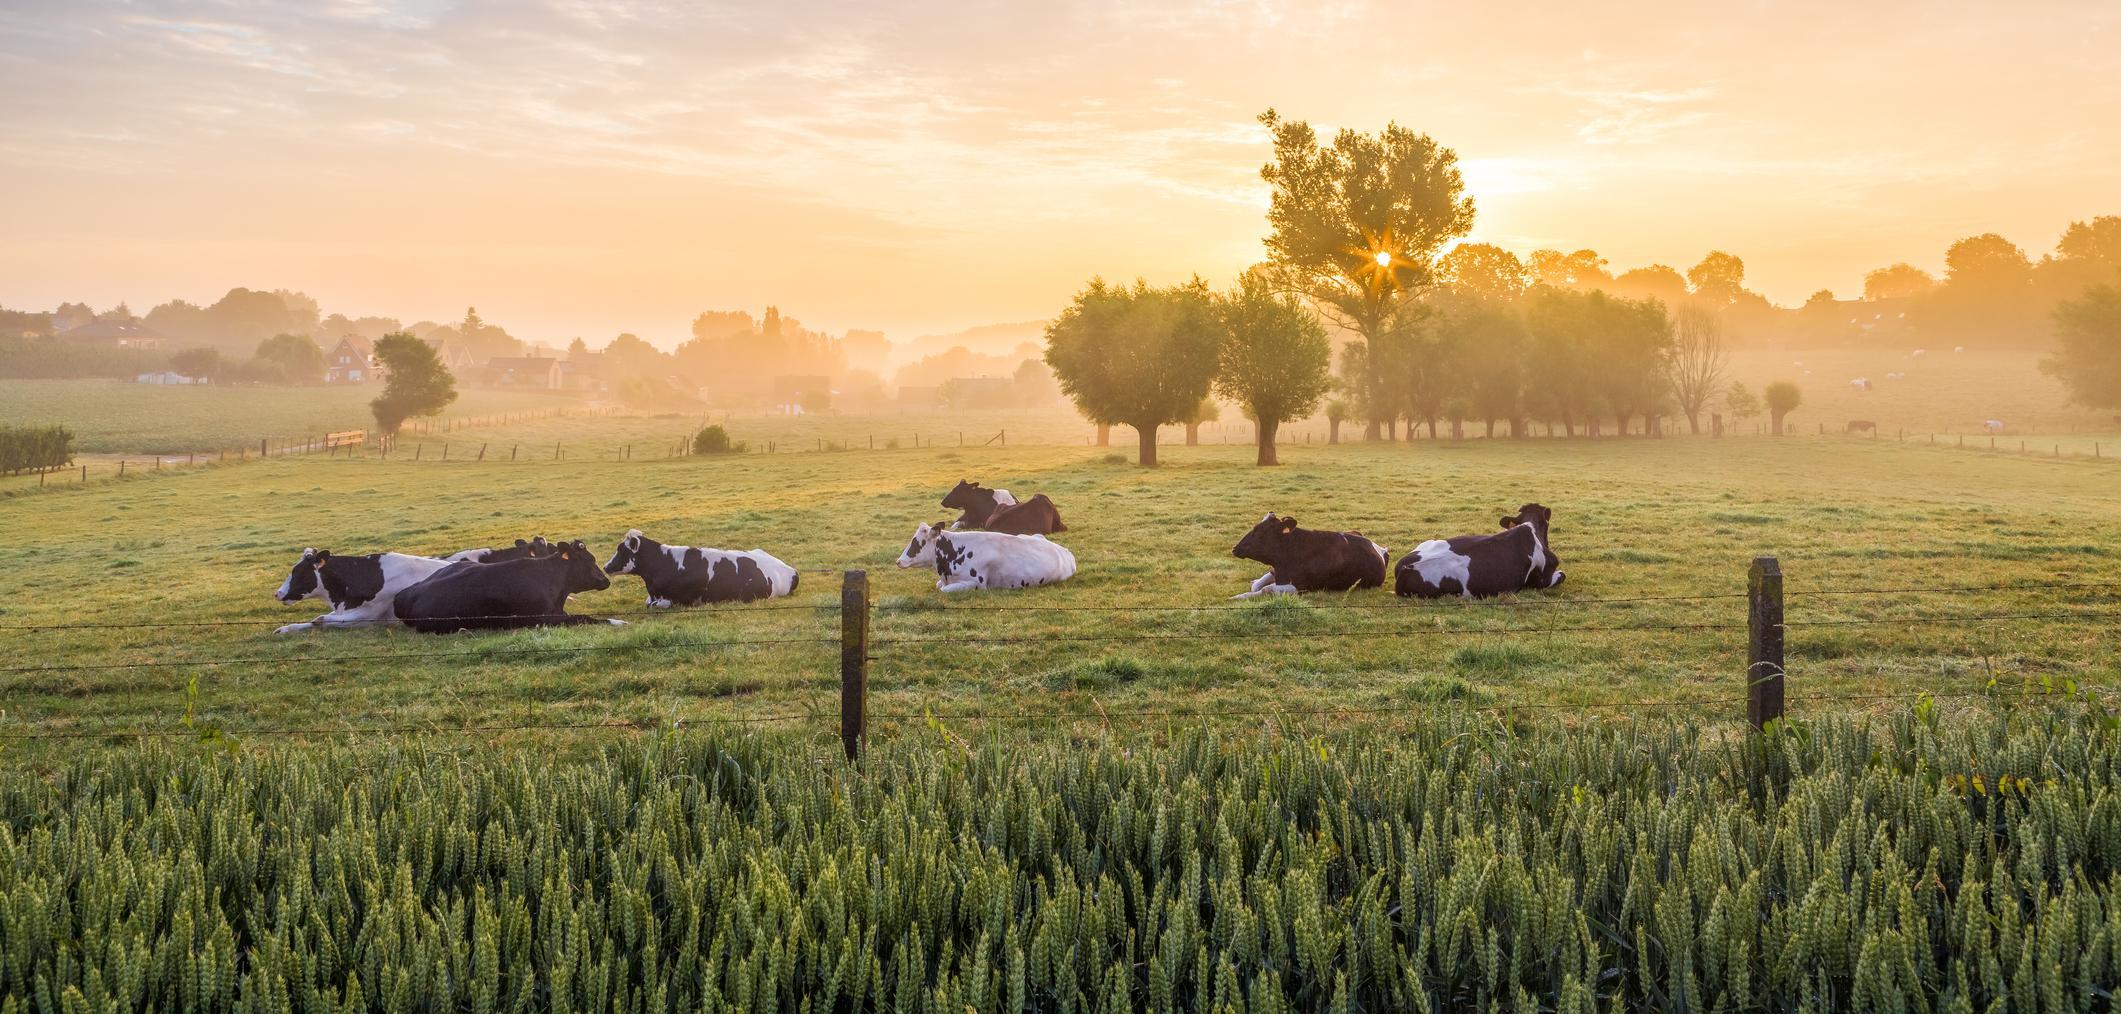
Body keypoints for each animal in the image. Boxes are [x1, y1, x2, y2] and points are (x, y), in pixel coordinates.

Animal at [394, 538, 619, 632]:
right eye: (588, 559)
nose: (605, 580)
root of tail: (406, 594)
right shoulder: (545, 619)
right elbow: (585, 618)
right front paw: (618, 621)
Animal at [895, 519, 1077, 589]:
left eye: (917, 542)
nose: (898, 561)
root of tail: (1066, 552)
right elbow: (938, 585)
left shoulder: (976, 584)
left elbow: (943, 589)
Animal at [1230, 511, 1391, 598]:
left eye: (1260, 531)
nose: (1235, 548)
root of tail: (1380, 549)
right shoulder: (1275, 571)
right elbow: (1257, 585)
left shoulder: (1303, 586)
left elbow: (1266, 589)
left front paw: (1237, 597)